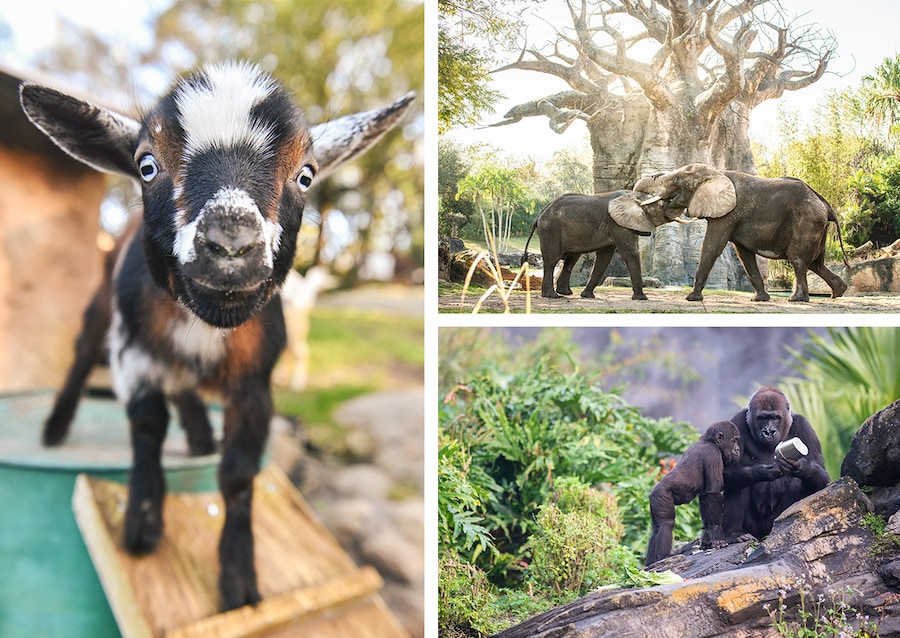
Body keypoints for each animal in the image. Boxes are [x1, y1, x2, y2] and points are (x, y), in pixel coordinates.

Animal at [20, 62, 414, 612]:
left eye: (306, 174)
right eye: (146, 165)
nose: (230, 246)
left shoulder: (256, 384)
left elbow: (239, 473)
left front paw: (240, 581)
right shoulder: (132, 358)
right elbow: (147, 427)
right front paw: (142, 525)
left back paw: (201, 435)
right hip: (102, 305)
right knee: (82, 352)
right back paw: (57, 427)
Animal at [520, 190, 684, 300]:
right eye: (662, 205)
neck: (635, 196)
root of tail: (540, 214)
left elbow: (605, 258)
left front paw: (587, 296)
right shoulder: (617, 224)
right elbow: (630, 253)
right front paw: (641, 299)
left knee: (571, 260)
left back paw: (566, 293)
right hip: (551, 230)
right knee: (552, 260)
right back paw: (552, 296)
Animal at [612, 165, 852, 304]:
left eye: (678, 181)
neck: (715, 173)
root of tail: (824, 203)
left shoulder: (728, 213)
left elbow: (712, 246)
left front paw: (691, 298)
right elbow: (744, 255)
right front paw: (759, 300)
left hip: (806, 221)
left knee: (799, 260)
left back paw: (797, 300)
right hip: (817, 227)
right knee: (816, 263)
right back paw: (838, 293)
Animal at [644, 424, 740, 564]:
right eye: (734, 440)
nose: (738, 449)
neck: (709, 441)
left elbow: (706, 498)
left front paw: (706, 538)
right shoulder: (713, 455)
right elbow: (713, 493)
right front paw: (717, 536)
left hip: (655, 500)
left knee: (656, 528)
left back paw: (651, 563)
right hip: (661, 495)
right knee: (666, 524)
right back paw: (664, 557)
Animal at [724, 388, 828, 544]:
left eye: (775, 417)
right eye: (762, 418)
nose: (769, 431)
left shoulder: (804, 426)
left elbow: (821, 478)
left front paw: (801, 466)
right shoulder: (737, 422)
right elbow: (727, 474)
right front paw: (760, 472)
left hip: (773, 526)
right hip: (755, 531)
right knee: (738, 483)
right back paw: (735, 533)